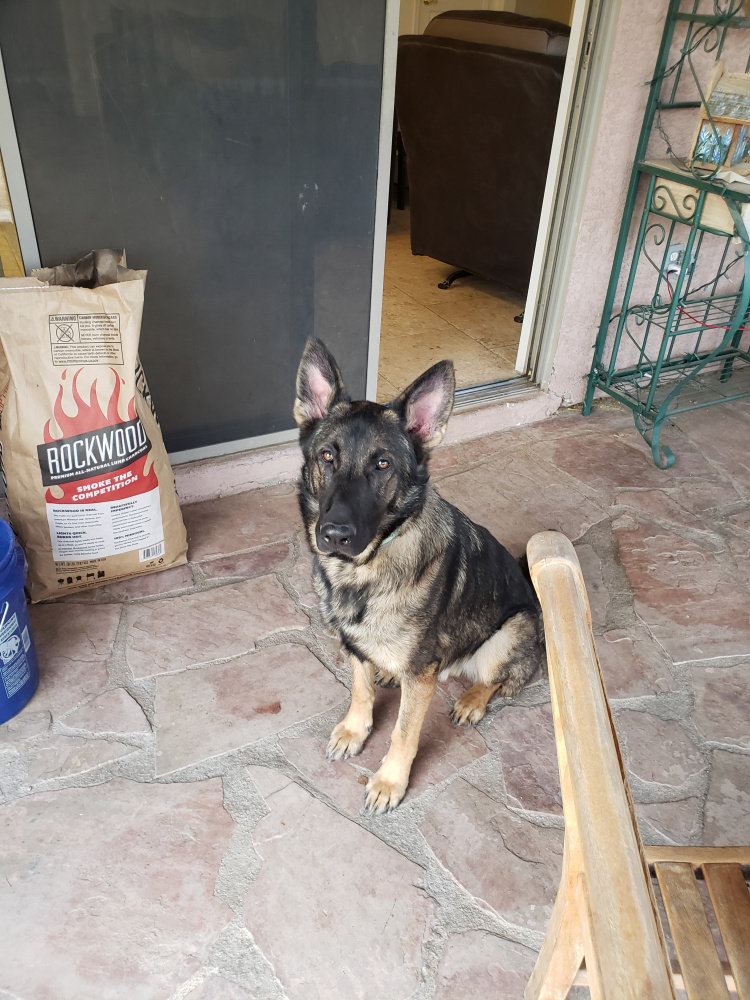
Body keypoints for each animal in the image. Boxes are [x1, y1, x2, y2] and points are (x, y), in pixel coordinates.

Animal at [294, 338, 544, 813]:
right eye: (327, 456)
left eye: (383, 464)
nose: (333, 535)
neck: (365, 568)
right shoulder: (353, 646)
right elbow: (361, 691)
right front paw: (355, 730)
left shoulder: (420, 677)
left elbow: (404, 732)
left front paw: (391, 780)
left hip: (511, 631)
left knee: (499, 680)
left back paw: (470, 700)